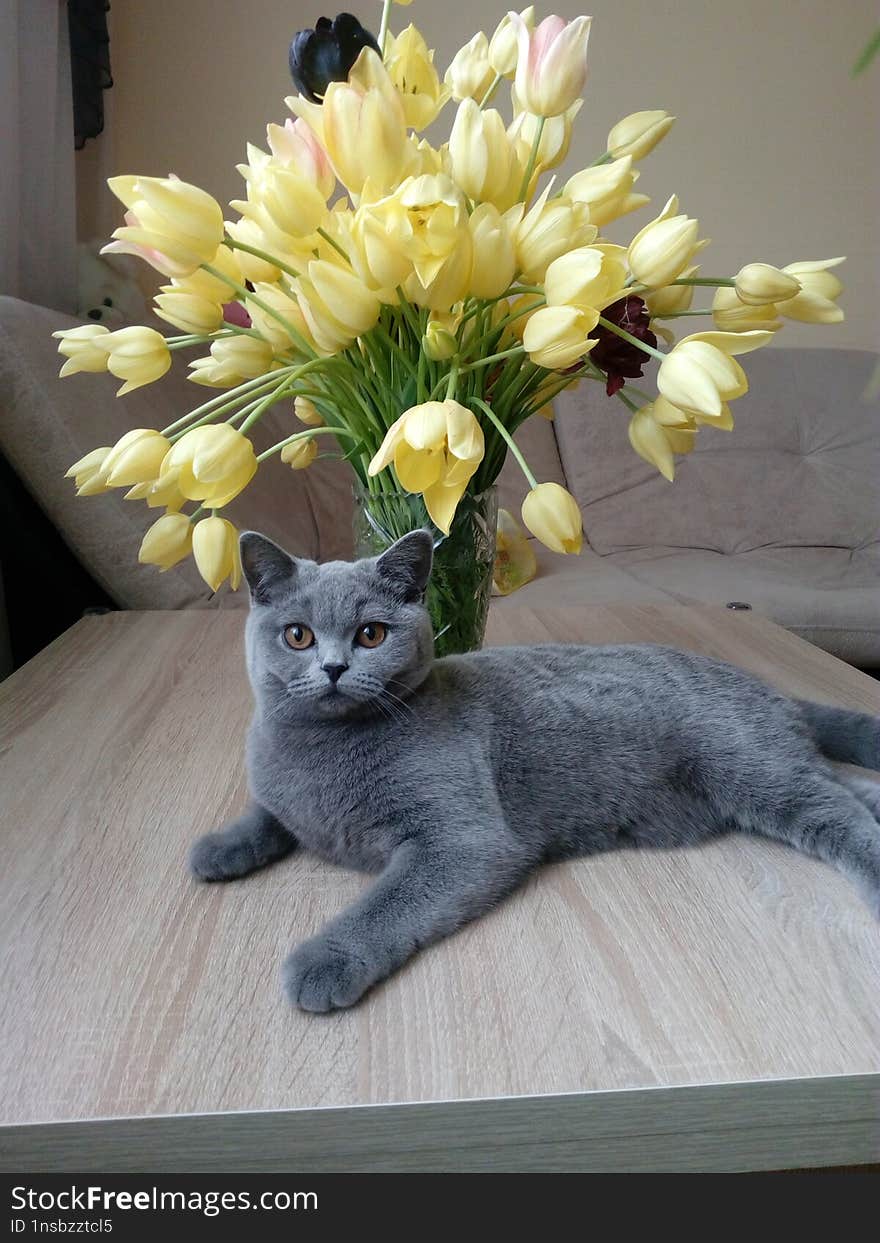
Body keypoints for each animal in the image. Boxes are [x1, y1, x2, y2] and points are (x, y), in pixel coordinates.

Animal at [190, 527, 879, 1009]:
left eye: (371, 634)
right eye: (298, 636)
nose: (334, 668)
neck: (324, 748)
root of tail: (771, 690)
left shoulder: (464, 841)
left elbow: (386, 902)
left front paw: (321, 962)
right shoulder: (287, 795)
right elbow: (270, 815)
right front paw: (218, 848)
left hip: (750, 767)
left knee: (839, 812)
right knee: (846, 786)